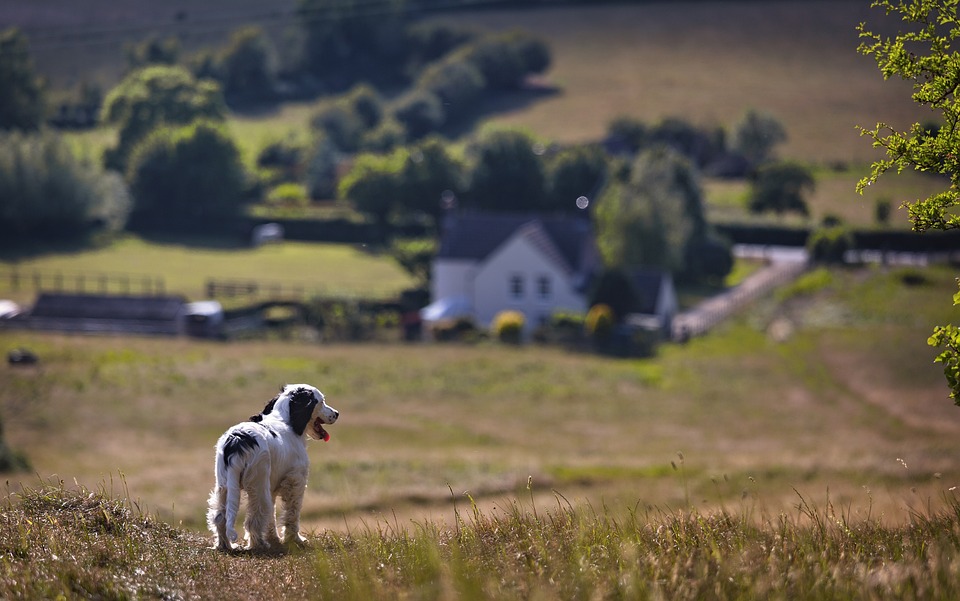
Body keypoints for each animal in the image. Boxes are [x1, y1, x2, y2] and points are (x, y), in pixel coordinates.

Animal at [206, 384, 338, 548]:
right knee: (254, 518)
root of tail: (237, 441)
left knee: (220, 517)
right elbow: (292, 514)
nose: (337, 413)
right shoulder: (296, 481)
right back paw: (259, 545)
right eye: (321, 402)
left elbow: (271, 517)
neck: (286, 420)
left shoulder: (272, 487)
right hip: (258, 485)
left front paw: (274, 539)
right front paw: (295, 540)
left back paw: (225, 545)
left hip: (224, 485)